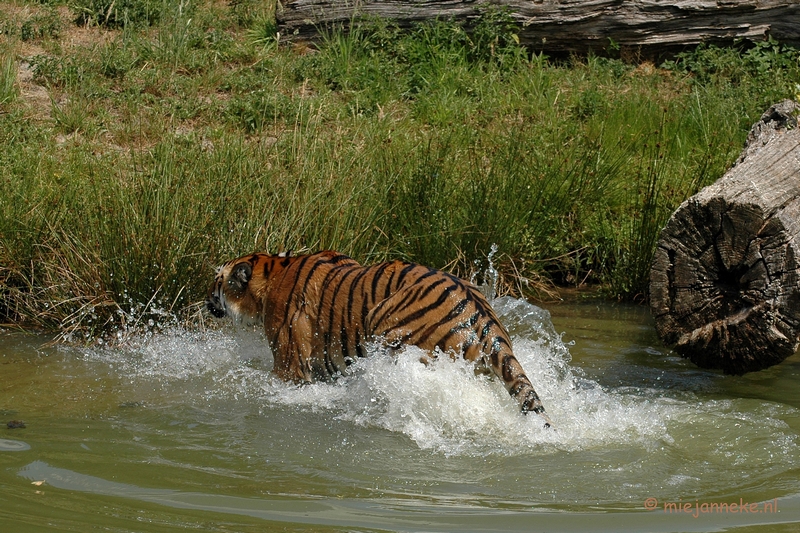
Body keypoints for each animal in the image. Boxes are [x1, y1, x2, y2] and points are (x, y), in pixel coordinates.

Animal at [206, 250, 552, 428]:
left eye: (216, 281)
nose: (207, 300)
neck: (273, 271)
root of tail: (478, 309)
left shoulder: (289, 363)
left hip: (387, 325)